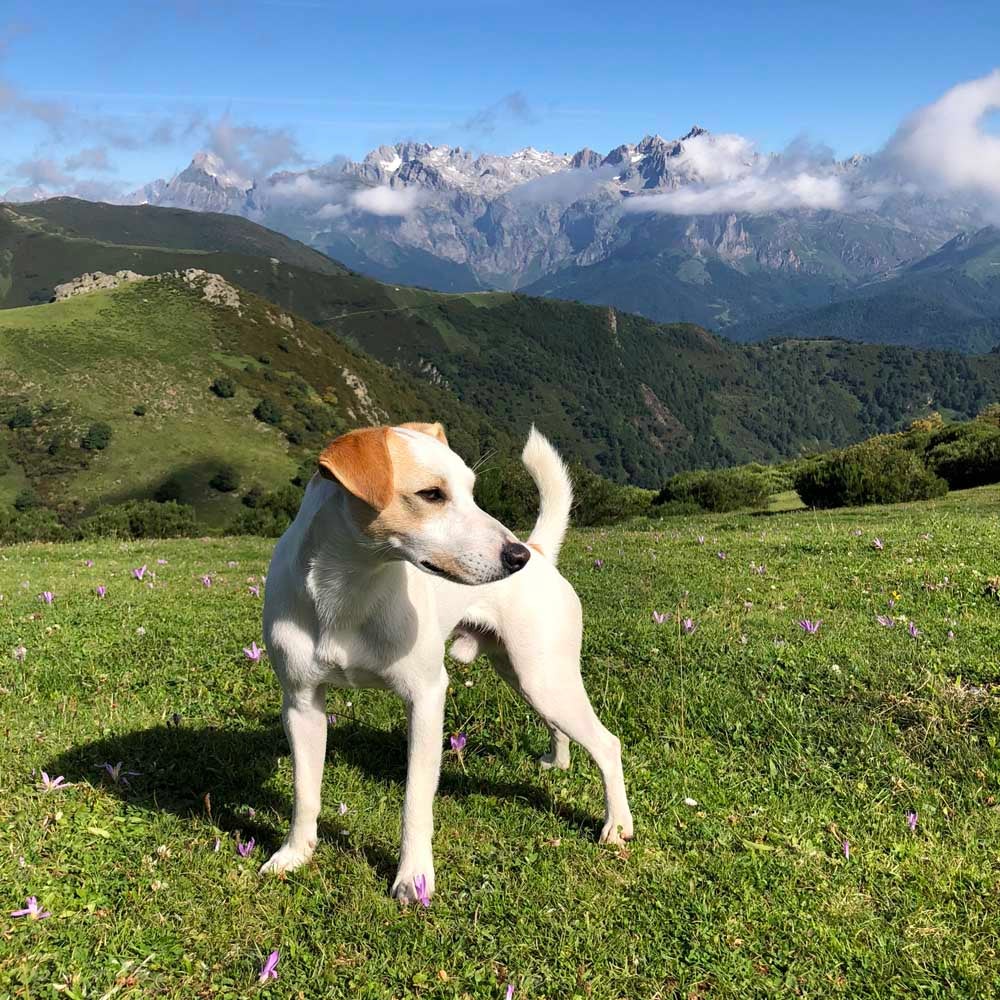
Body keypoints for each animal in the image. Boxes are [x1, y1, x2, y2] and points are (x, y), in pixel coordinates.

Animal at [258, 418, 632, 904]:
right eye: (431, 494)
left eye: (472, 490)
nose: (516, 556)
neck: (348, 590)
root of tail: (540, 551)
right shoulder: (302, 705)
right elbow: (305, 791)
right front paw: (295, 853)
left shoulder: (426, 698)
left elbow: (416, 800)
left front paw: (413, 877)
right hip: (525, 676)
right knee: (561, 728)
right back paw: (559, 761)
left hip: (547, 679)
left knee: (608, 744)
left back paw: (617, 825)